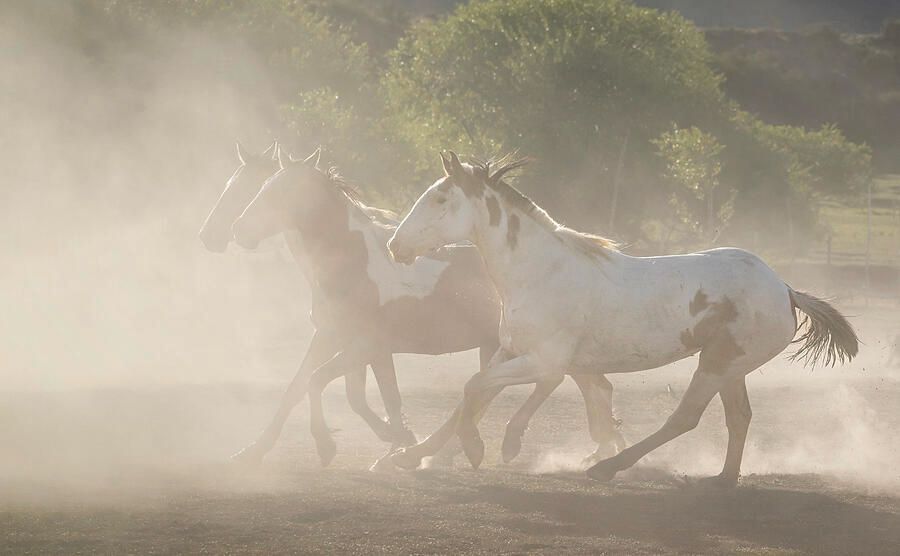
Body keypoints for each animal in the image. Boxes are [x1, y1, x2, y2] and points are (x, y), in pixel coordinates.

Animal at [207, 143, 623, 467]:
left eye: (279, 192)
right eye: (255, 188)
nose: (227, 232)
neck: (355, 263)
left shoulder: (368, 345)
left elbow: (331, 386)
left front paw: (344, 445)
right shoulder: (332, 337)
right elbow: (306, 388)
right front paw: (251, 452)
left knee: (568, 386)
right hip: (506, 347)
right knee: (566, 387)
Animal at [388, 152, 858, 487]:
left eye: (440, 199)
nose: (395, 245)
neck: (540, 272)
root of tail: (785, 289)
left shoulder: (545, 360)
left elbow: (478, 387)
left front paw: (489, 446)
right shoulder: (511, 351)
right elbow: (473, 395)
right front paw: (406, 456)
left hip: (717, 364)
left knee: (685, 418)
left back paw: (608, 467)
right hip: (731, 367)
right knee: (738, 417)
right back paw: (722, 479)